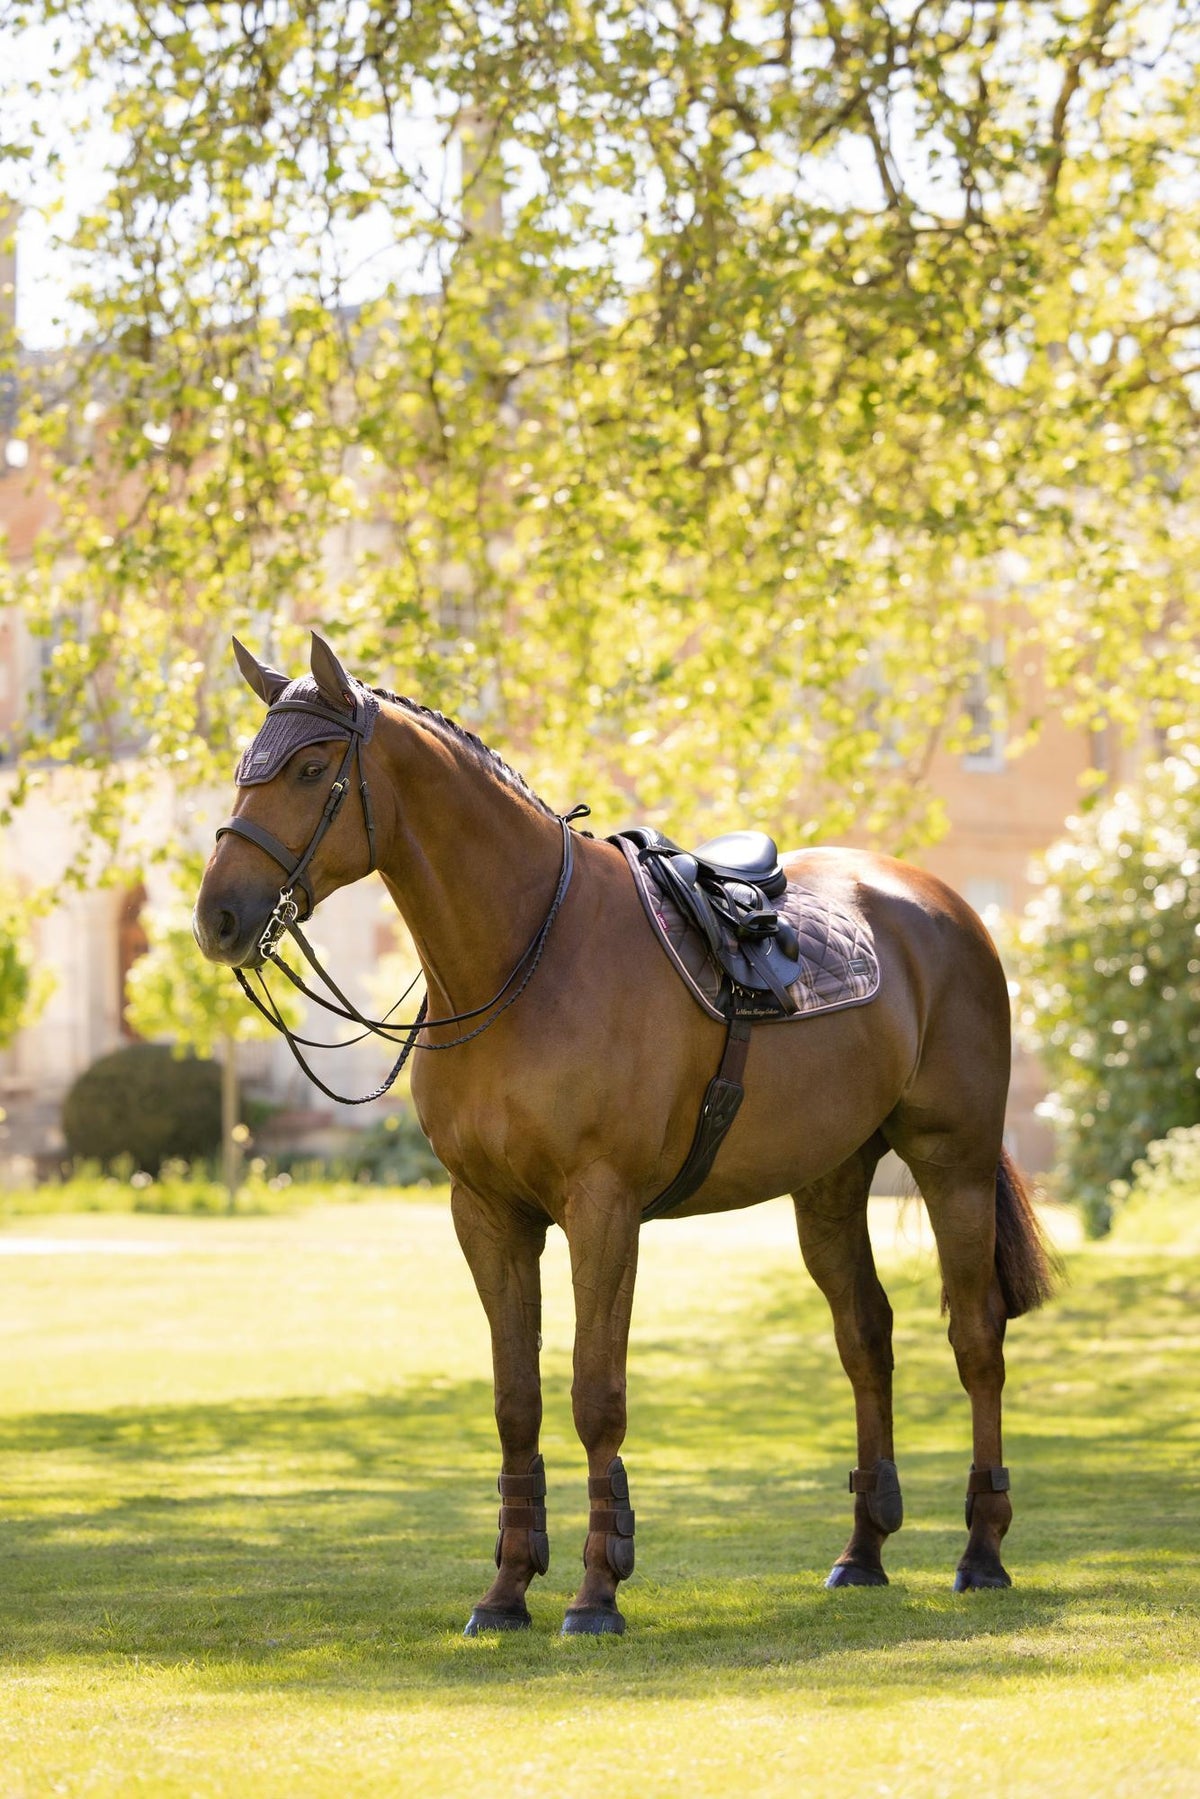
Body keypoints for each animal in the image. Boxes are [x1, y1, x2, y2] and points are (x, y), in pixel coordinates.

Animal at [193, 632, 1057, 1636]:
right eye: (246, 769)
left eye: (309, 768)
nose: (217, 916)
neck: (526, 955)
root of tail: (943, 907)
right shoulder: (486, 1213)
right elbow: (516, 1401)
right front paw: (506, 1590)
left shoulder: (602, 1208)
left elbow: (594, 1395)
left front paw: (597, 1589)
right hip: (831, 1182)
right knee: (865, 1338)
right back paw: (863, 1550)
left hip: (952, 1160)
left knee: (976, 1337)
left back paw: (982, 1549)